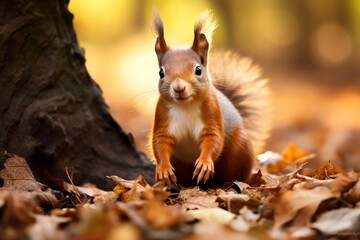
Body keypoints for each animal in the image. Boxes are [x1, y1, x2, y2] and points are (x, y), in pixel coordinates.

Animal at [149, 10, 270, 187]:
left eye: (198, 70)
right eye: (161, 73)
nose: (179, 88)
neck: (186, 105)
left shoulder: (212, 112)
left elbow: (214, 140)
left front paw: (204, 164)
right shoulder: (162, 115)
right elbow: (159, 143)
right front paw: (163, 168)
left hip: (239, 149)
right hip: (180, 162)